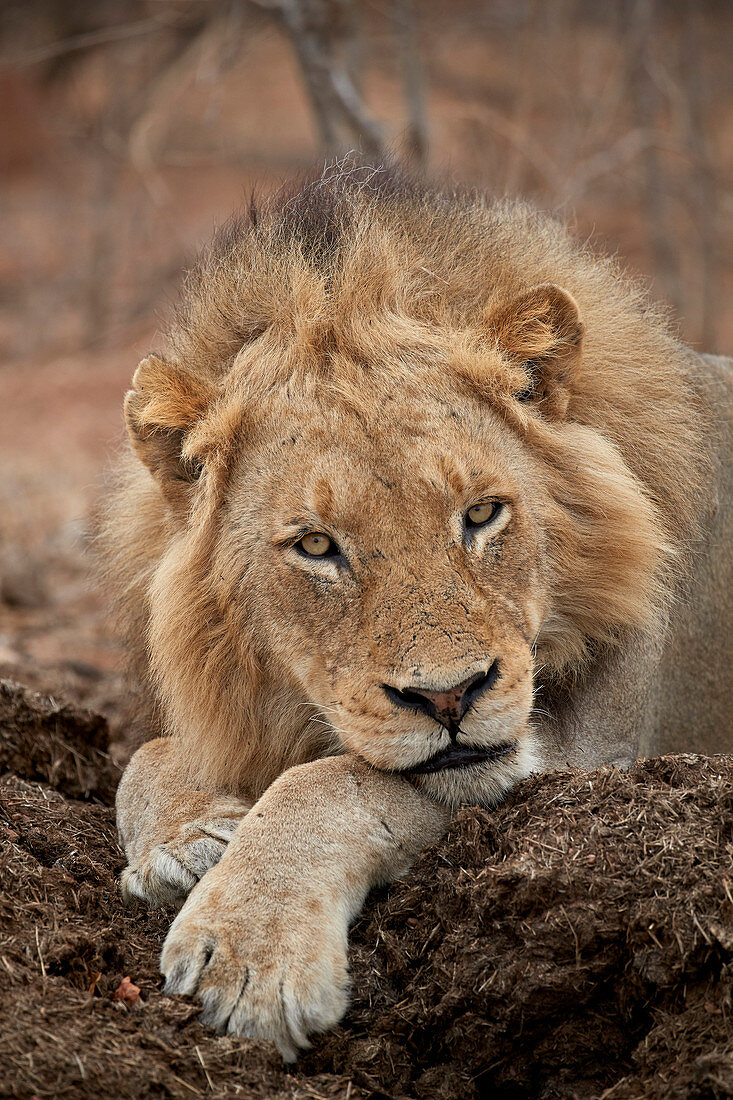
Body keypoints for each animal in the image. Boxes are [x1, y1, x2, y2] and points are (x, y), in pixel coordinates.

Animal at [104, 160, 730, 1056]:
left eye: (481, 514)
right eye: (316, 545)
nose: (449, 697)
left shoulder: (589, 757)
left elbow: (335, 781)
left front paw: (249, 947)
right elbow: (145, 755)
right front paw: (188, 837)